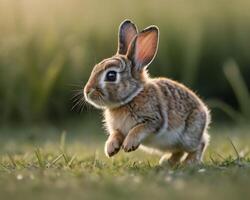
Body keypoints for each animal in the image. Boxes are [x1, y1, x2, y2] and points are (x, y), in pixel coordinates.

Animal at [84, 19, 211, 165]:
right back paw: (167, 162)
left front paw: (128, 145)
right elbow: (115, 135)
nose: (87, 92)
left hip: (189, 136)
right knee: (178, 151)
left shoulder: (153, 119)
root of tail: (205, 112)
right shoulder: (118, 129)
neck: (130, 98)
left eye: (111, 75)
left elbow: (138, 129)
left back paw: (190, 161)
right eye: (95, 69)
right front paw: (111, 149)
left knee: (200, 143)